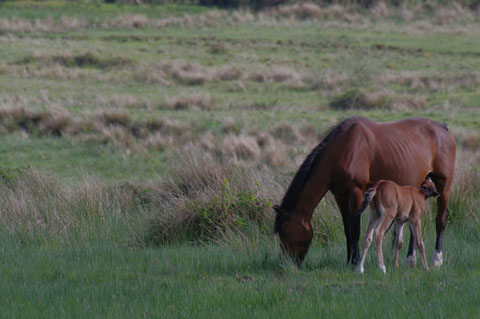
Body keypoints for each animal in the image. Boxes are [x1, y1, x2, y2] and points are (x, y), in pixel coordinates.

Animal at [276, 117, 456, 268]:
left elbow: (355, 230)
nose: (285, 264)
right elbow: (347, 230)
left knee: (440, 220)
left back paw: (437, 259)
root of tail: (443, 129)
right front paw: (349, 261)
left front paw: (356, 262)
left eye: (284, 231)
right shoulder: (340, 197)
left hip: (443, 187)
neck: (344, 149)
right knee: (414, 222)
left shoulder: (356, 193)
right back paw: (410, 259)